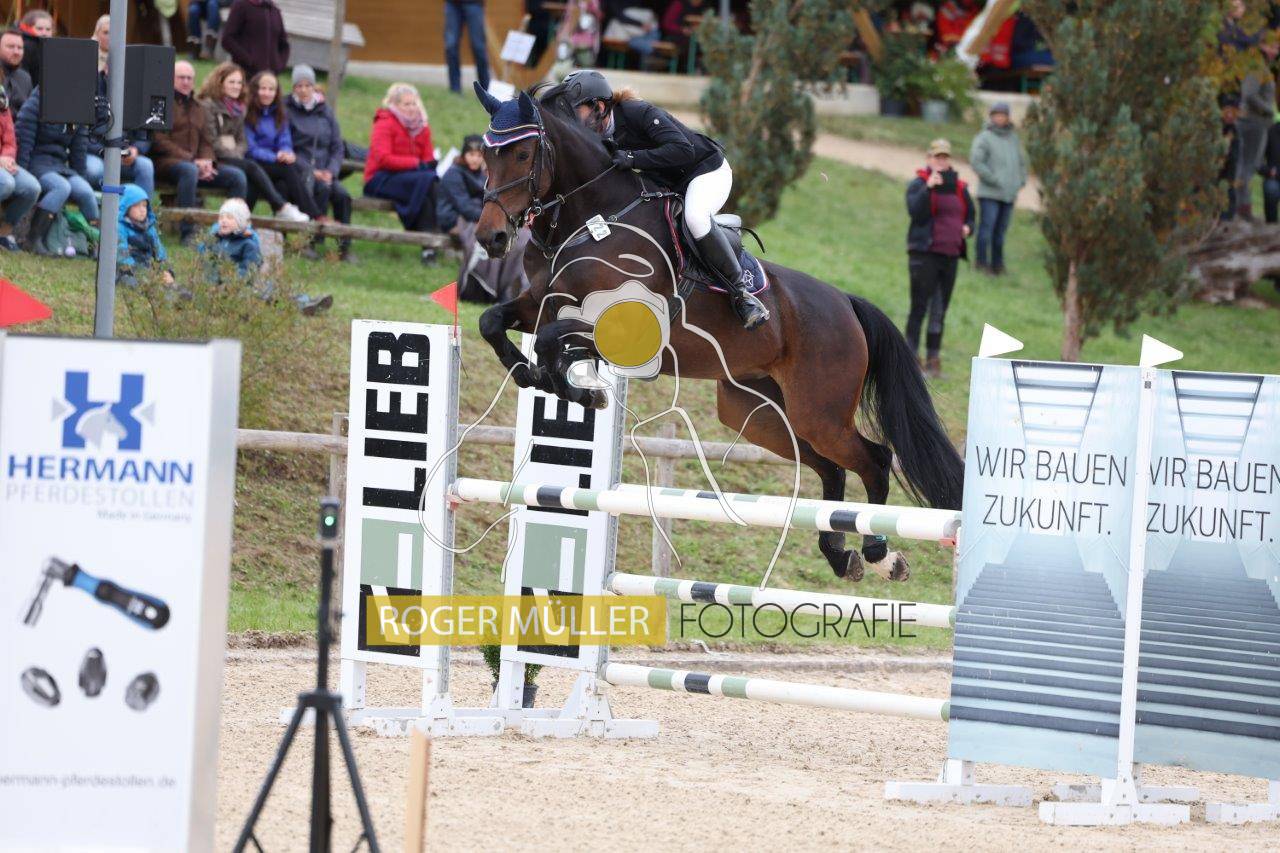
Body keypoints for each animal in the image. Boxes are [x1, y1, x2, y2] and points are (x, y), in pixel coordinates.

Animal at [473, 88, 964, 583]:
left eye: (522, 153)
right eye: (488, 154)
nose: (490, 237)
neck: (597, 220)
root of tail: (846, 303)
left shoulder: (628, 329)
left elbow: (552, 339)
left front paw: (579, 391)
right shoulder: (541, 302)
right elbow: (494, 322)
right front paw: (539, 377)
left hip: (819, 412)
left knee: (875, 460)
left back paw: (881, 554)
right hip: (758, 412)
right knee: (831, 469)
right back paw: (839, 554)